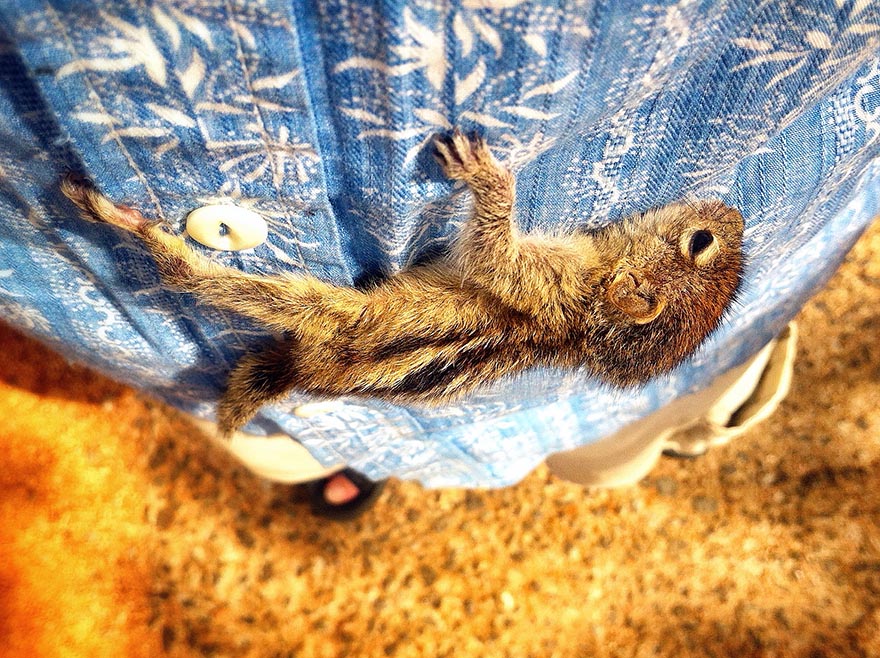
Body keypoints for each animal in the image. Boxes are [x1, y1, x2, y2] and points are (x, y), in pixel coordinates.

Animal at [61, 130, 744, 436]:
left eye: (697, 246)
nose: (735, 213)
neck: (594, 316)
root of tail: (313, 369)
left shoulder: (543, 280)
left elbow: (495, 254)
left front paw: (487, 178)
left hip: (319, 310)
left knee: (203, 280)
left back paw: (122, 221)